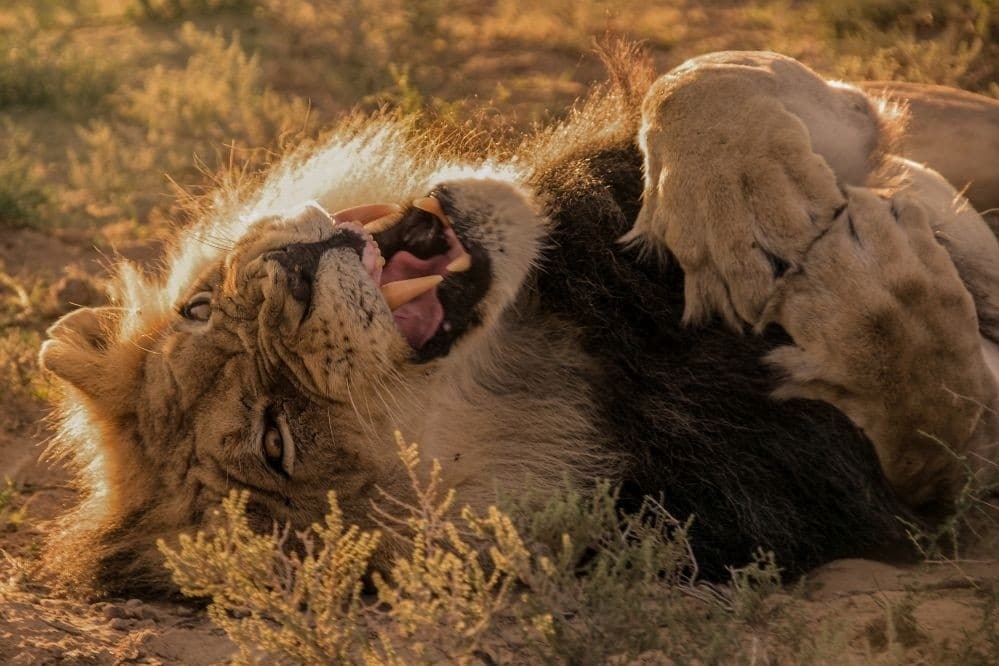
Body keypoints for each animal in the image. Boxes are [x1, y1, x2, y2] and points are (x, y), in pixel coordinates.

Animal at [39, 50, 999, 592]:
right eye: (277, 442)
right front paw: (878, 299)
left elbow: (700, 80)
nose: (288, 280)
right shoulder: (895, 505)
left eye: (199, 309)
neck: (583, 348)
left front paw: (742, 193)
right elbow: (940, 418)